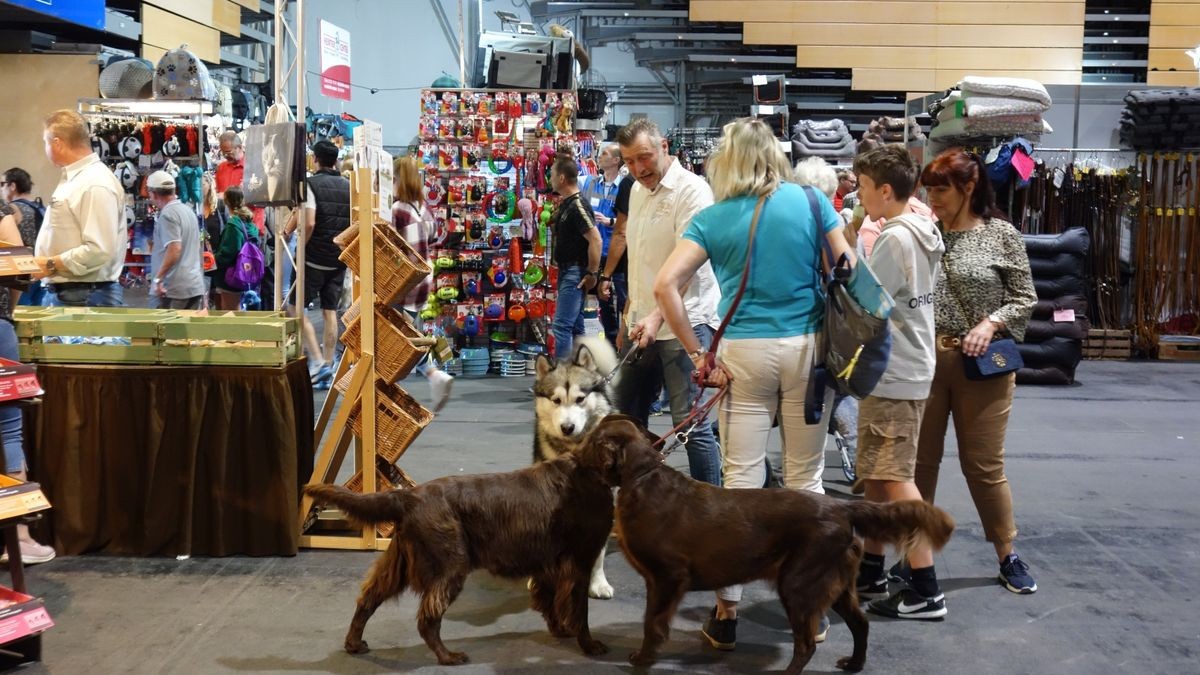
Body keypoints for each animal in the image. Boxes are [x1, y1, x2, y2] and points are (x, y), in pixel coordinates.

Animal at [304, 449, 614, 662]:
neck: (585, 471)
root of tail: (408, 497)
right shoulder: (579, 560)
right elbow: (579, 610)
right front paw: (589, 645)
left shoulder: (550, 562)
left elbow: (550, 601)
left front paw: (560, 629)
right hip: (451, 564)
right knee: (427, 617)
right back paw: (448, 657)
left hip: (399, 563)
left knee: (368, 599)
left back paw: (354, 644)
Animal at [580, 417, 955, 667]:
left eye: (590, 442)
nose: (573, 449)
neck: (643, 477)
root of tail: (842, 507)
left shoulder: (668, 576)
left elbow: (652, 624)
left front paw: (643, 658)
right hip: (836, 583)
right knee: (859, 624)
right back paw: (853, 664)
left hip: (798, 583)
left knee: (807, 644)